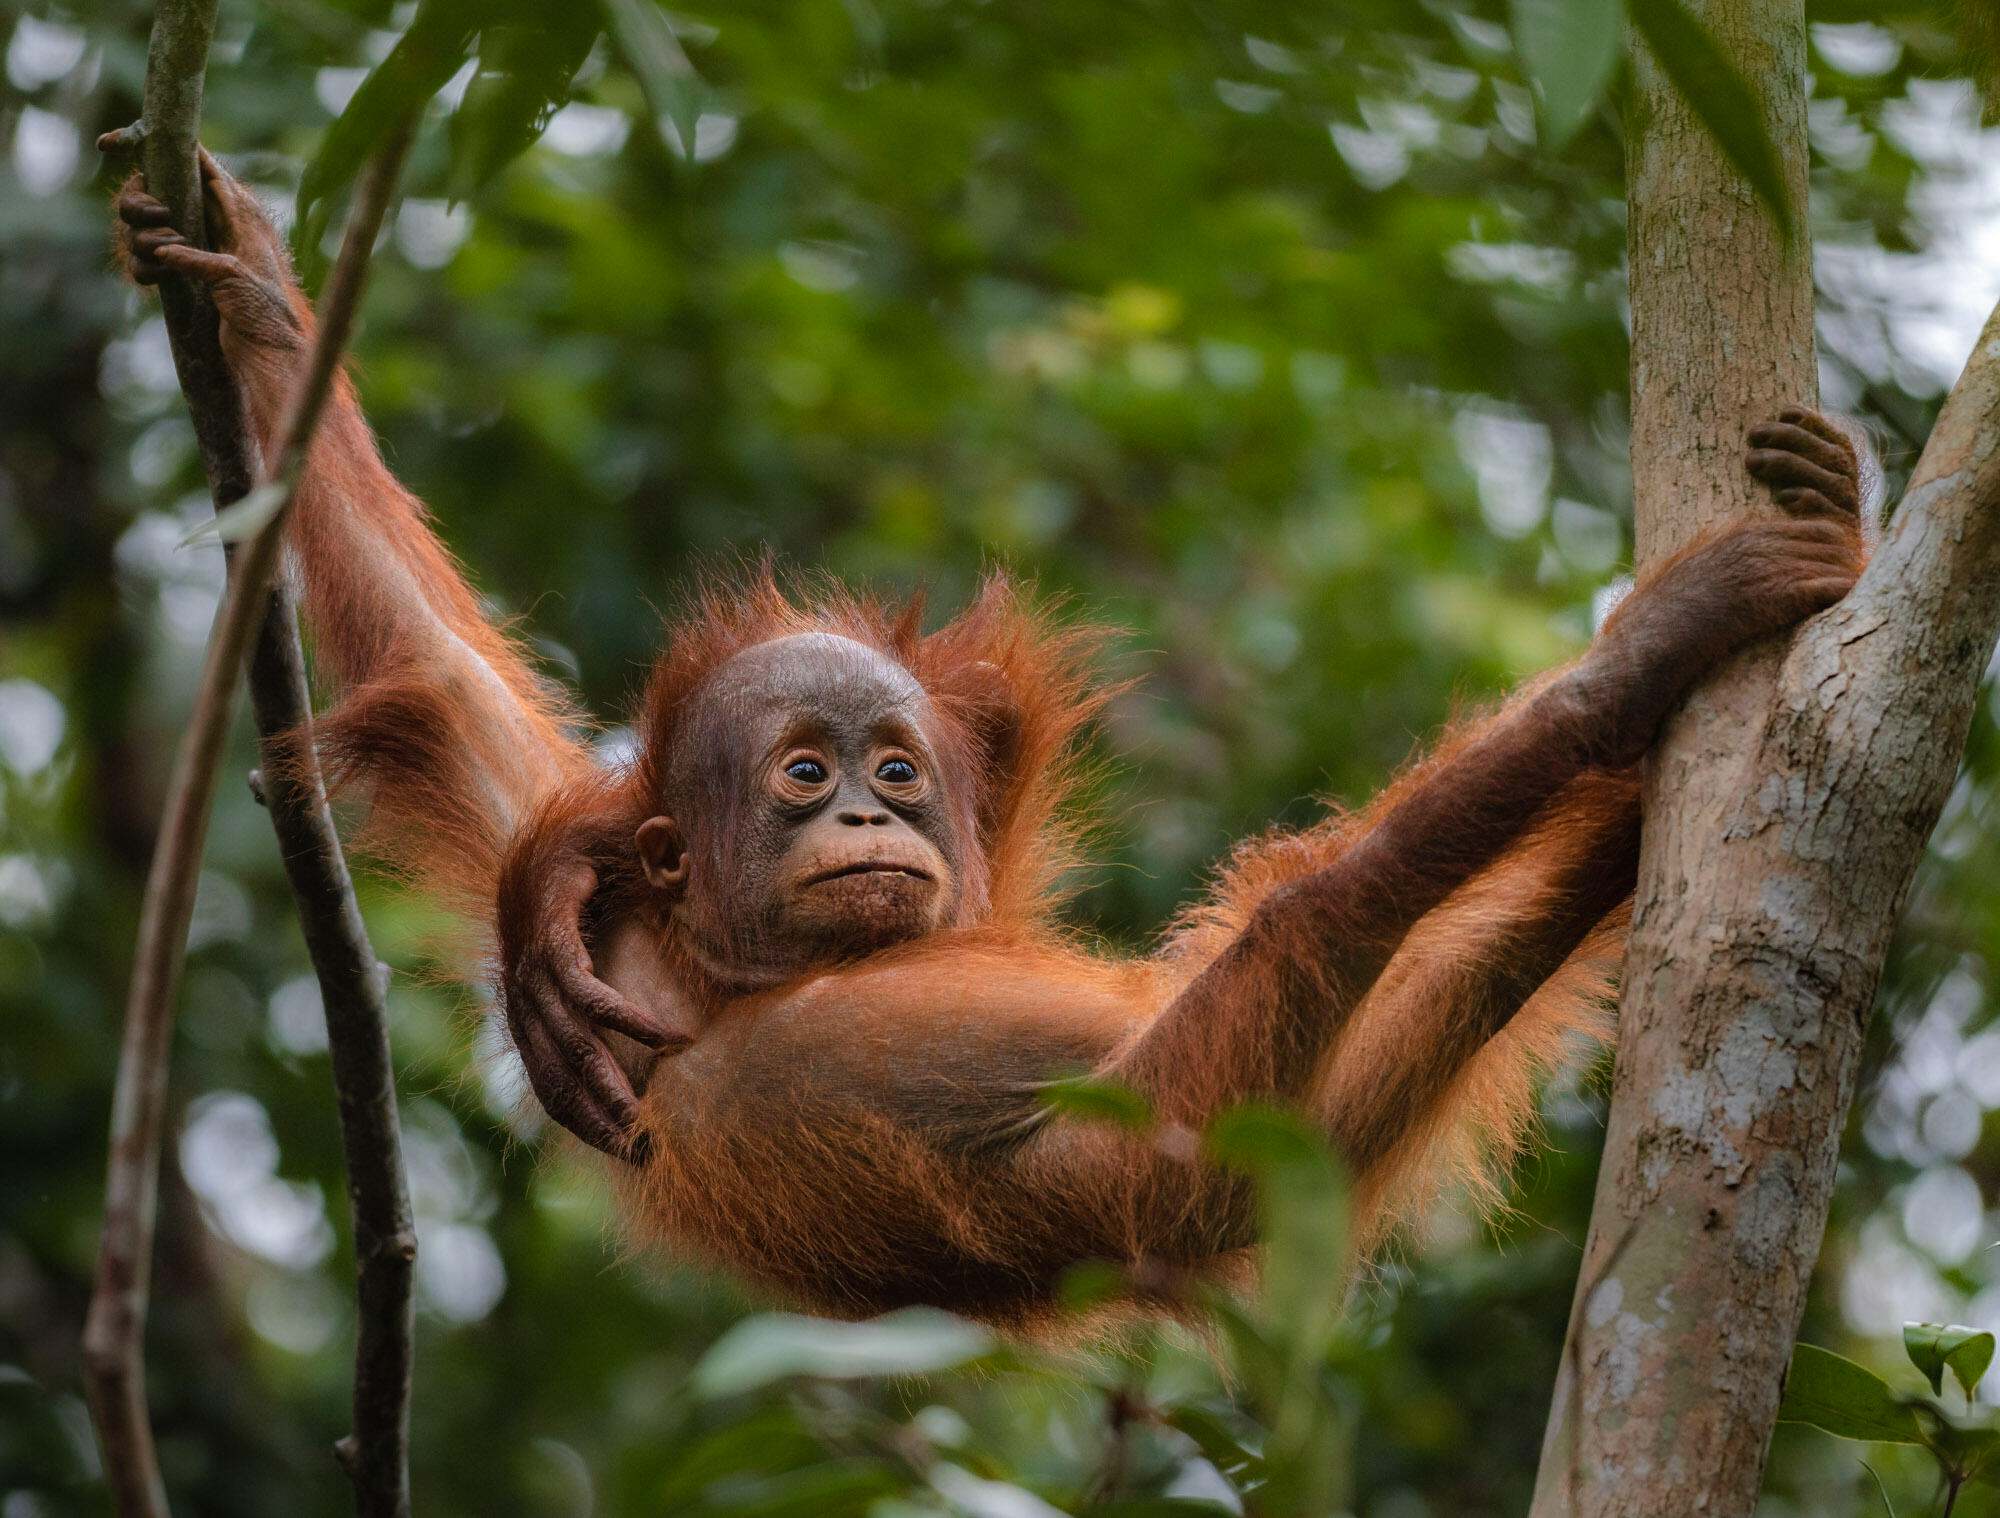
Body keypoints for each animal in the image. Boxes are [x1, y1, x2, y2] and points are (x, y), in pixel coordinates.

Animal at [115, 151, 1871, 1328]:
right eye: (804, 775)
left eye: (895, 770)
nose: (871, 822)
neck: (715, 970)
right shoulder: (809, 1073)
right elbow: (1186, 1126)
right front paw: (1637, 659)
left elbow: (432, 661)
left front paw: (252, 280)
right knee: (1309, 942)